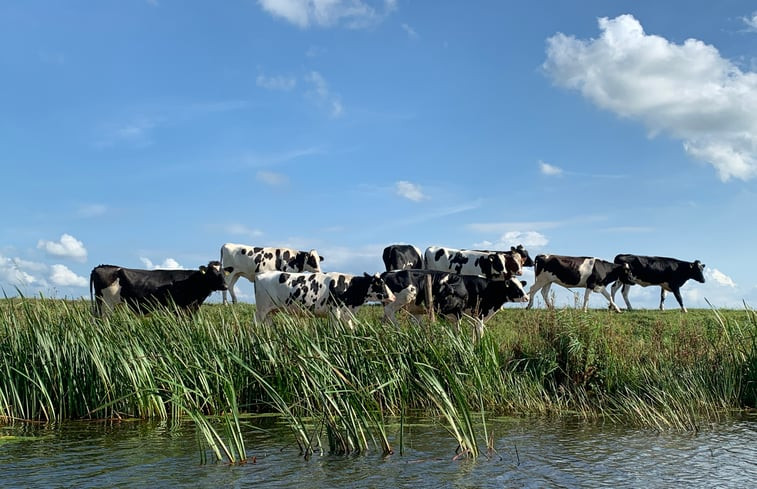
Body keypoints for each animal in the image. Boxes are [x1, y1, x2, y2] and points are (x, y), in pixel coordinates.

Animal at [89, 260, 230, 316]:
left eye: (223, 273)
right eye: (211, 274)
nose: (225, 286)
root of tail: (101, 266)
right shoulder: (178, 309)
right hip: (106, 305)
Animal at [254, 268, 396, 326]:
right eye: (380, 283)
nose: (393, 297)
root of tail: (261, 274)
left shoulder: (347, 314)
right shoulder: (334, 311)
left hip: (270, 311)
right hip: (261, 310)